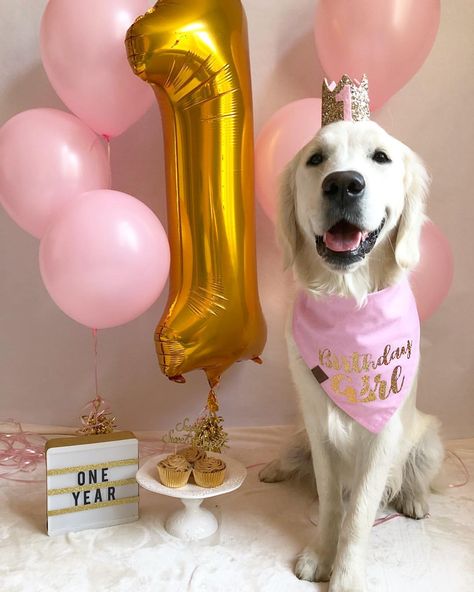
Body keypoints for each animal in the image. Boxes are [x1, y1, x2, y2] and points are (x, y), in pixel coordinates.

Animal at [260, 120, 444, 592]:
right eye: (315, 159)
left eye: (381, 157)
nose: (343, 184)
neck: (348, 299)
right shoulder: (318, 426)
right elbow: (330, 500)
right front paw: (321, 554)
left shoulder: (382, 437)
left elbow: (358, 514)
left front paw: (346, 576)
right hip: (298, 431)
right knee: (291, 458)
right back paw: (272, 468)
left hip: (428, 440)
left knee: (416, 477)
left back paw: (414, 499)